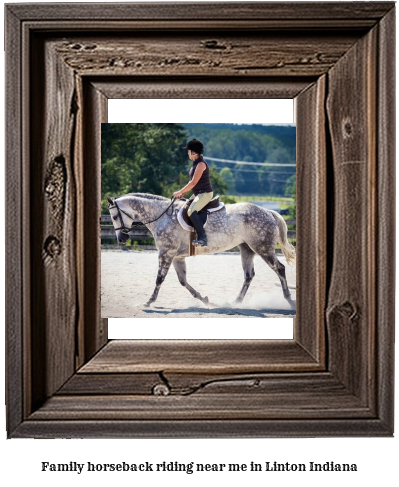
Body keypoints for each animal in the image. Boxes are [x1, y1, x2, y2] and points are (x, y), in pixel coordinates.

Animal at [106, 193, 296, 310]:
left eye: (114, 217)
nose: (121, 239)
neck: (162, 216)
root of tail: (268, 212)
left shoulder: (166, 253)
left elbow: (159, 278)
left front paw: (149, 301)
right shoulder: (176, 257)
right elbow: (183, 281)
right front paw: (203, 299)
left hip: (262, 248)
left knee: (279, 268)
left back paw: (288, 300)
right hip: (247, 249)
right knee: (249, 275)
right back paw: (236, 302)